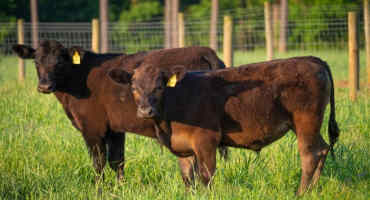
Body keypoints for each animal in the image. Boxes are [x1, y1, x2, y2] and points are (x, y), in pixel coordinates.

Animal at [110, 56, 342, 195]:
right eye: (133, 87)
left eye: (159, 87)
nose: (145, 111)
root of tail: (311, 59)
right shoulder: (184, 148)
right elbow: (188, 179)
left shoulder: (206, 141)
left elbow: (206, 177)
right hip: (308, 125)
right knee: (322, 149)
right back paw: (313, 190)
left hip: (306, 121)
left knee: (310, 155)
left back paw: (300, 193)